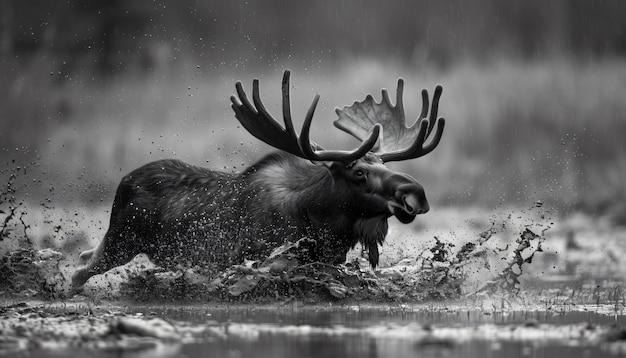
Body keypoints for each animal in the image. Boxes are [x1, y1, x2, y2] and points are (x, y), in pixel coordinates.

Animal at [70, 71, 444, 292]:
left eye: (380, 162)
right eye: (358, 171)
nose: (416, 193)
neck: (320, 220)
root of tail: (123, 181)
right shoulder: (248, 255)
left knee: (83, 255)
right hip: (122, 241)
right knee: (79, 272)